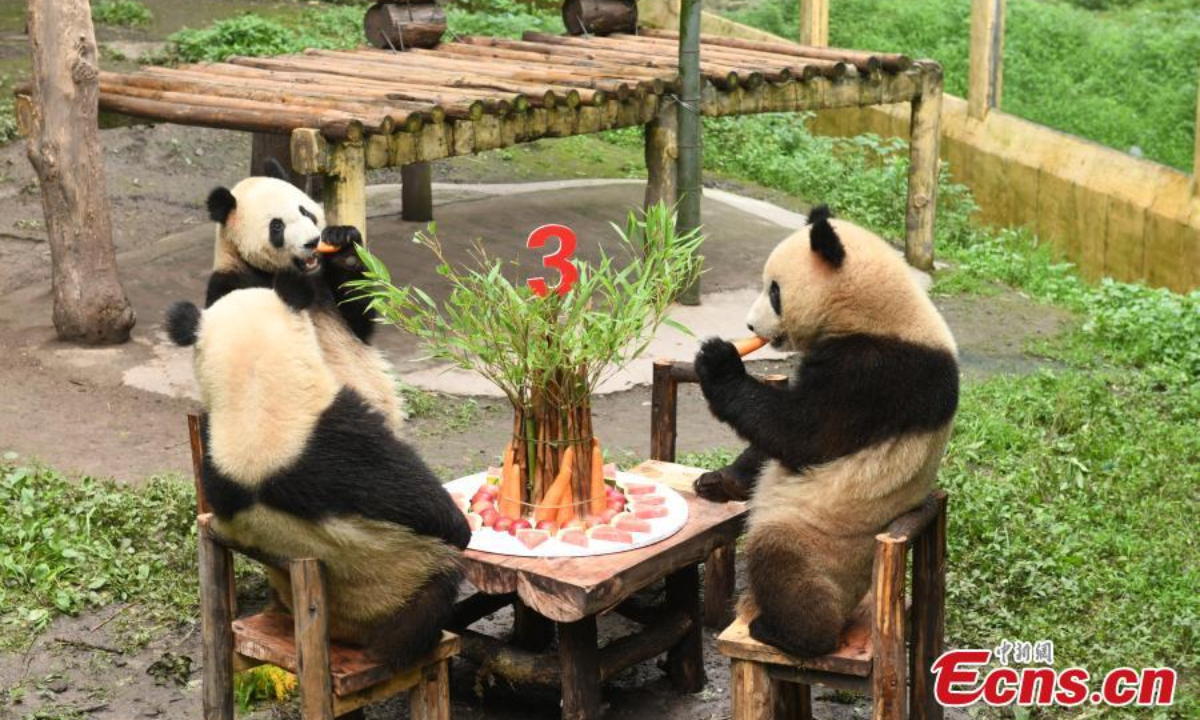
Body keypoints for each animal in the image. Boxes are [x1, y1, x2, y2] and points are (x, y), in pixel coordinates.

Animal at [166, 282, 469, 668]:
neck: (254, 394)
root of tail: (343, 634)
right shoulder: (352, 446)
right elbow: (439, 514)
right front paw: (460, 523)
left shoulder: (215, 467)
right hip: (403, 582)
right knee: (432, 595)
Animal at [203, 163, 405, 434]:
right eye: (277, 227)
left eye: (305, 211)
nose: (312, 242)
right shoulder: (232, 286)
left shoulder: (326, 284)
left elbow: (359, 320)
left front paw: (343, 242)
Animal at [692, 206, 959, 658]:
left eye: (775, 291)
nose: (750, 326)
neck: (879, 310)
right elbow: (772, 442)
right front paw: (720, 480)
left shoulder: (877, 375)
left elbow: (802, 433)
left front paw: (717, 360)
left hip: (826, 539)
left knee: (784, 560)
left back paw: (791, 634)